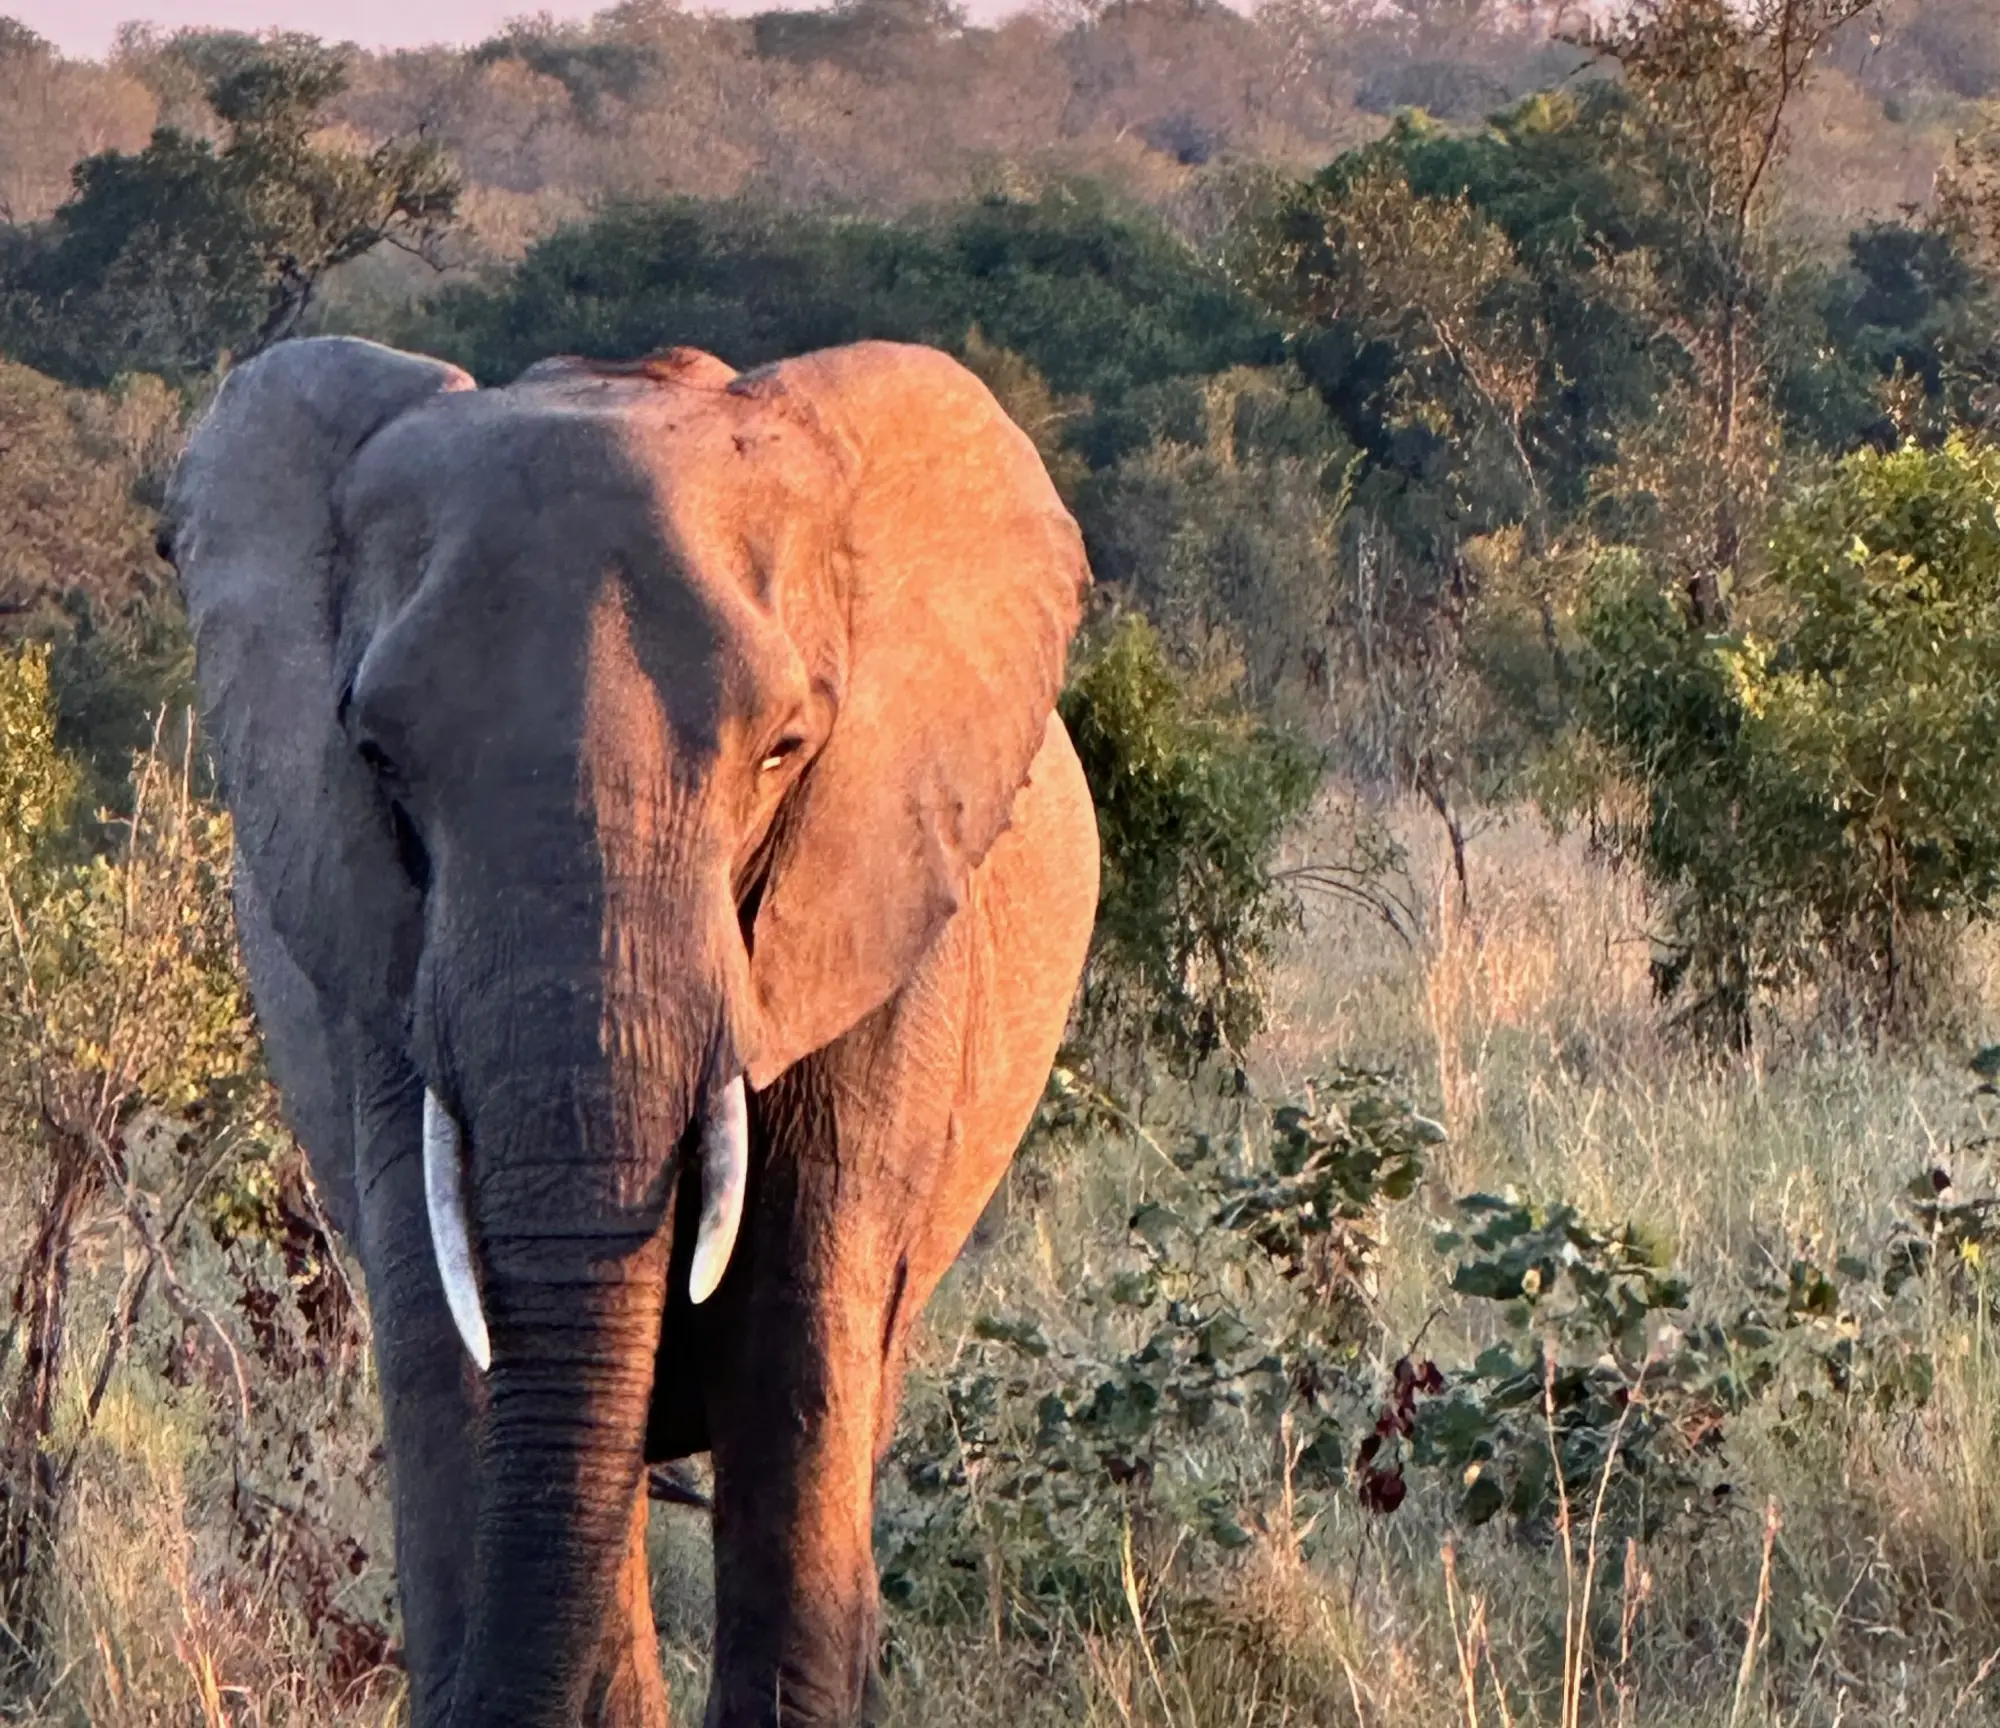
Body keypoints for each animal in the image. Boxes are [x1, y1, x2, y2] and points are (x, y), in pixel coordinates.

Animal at [156, 334, 1100, 1727]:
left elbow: (796, 1364)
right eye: (375, 758)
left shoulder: (879, 923)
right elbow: (453, 1355)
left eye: (784, 750)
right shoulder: (373, 969)